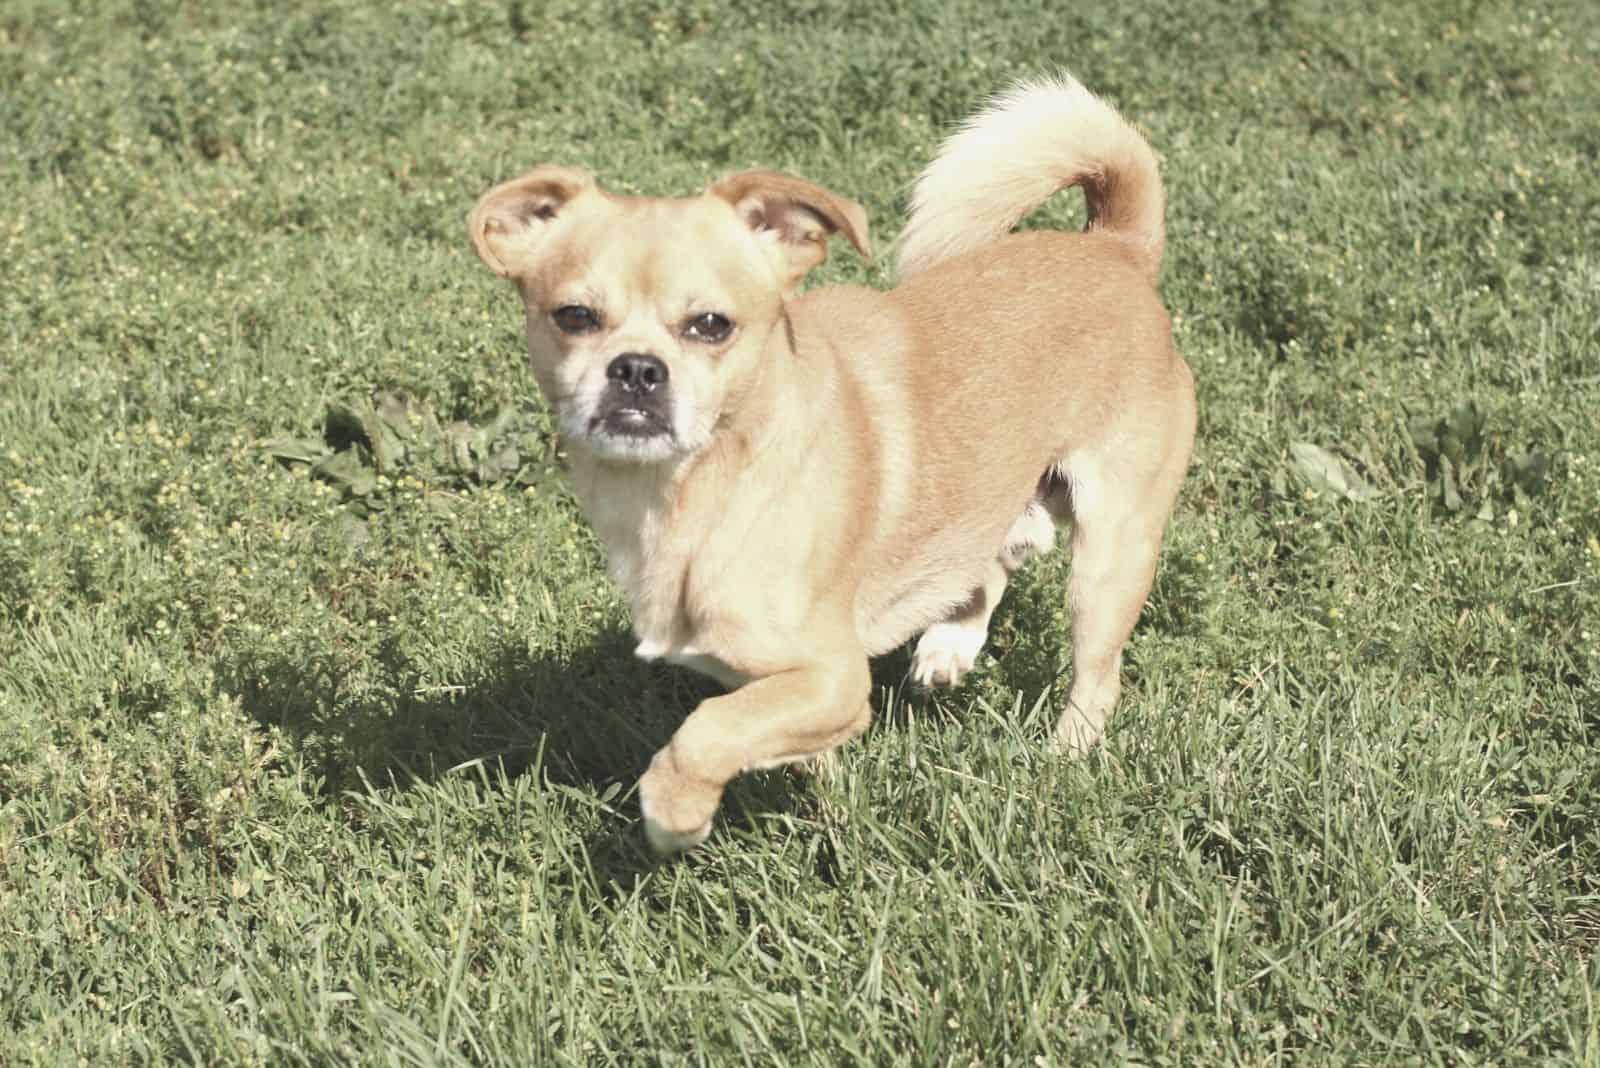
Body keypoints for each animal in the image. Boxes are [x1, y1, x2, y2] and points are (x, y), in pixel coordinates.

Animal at [467, 75, 1196, 856]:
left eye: (711, 325)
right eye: (573, 316)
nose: (636, 369)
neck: (690, 493)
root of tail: (1116, 249)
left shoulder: (836, 679)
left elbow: (706, 731)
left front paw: (675, 813)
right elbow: (768, 735)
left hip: (1111, 555)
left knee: (1096, 675)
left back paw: (1060, 762)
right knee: (988, 562)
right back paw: (950, 645)